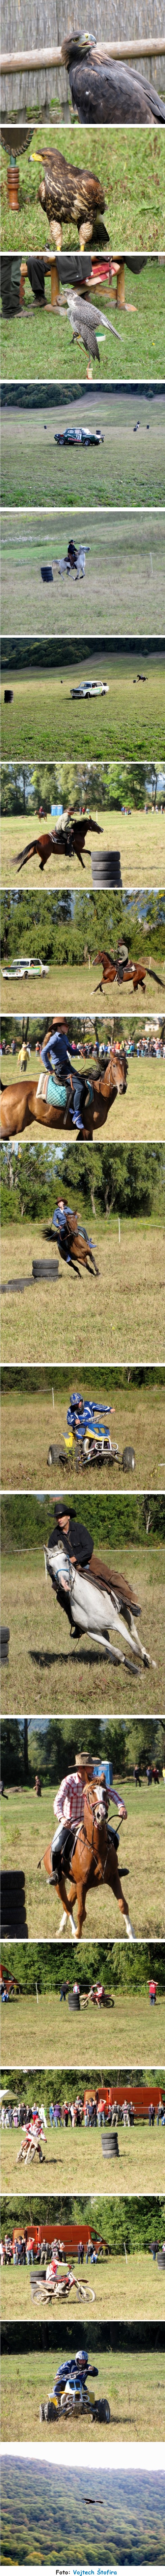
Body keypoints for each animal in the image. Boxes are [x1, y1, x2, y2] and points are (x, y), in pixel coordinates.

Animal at [0, 1046, 128, 1139]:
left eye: (126, 1067)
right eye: (114, 1066)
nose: (123, 1087)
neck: (99, 1096)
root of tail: (7, 1088)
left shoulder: (83, 1131)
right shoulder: (88, 1130)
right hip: (13, 1127)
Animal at [38, 1782, 135, 1937]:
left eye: (106, 1792)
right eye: (90, 1794)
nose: (102, 1815)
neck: (97, 1849)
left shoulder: (114, 1879)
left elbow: (124, 1906)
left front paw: (132, 1935)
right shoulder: (82, 1885)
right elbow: (81, 1914)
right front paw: (77, 1934)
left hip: (74, 1883)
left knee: (70, 1902)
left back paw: (62, 1928)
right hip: (60, 1883)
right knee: (67, 1906)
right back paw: (71, 1930)